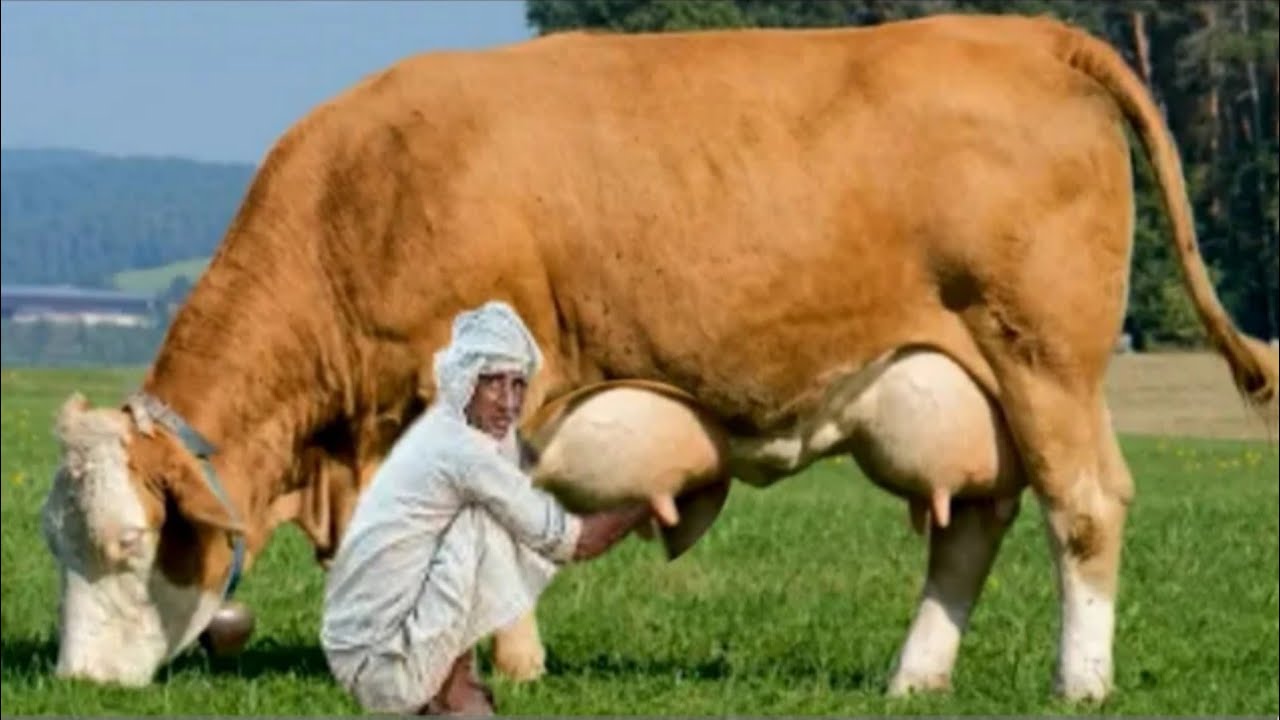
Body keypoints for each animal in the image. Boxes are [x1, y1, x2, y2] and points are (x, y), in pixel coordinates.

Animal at [39, 12, 1277, 704]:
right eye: (54, 542)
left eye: (129, 542)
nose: (77, 685)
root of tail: (1028, 32)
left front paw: (492, 662)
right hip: (968, 385)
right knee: (973, 525)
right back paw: (913, 677)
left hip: (1045, 359)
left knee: (1084, 508)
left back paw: (1079, 683)